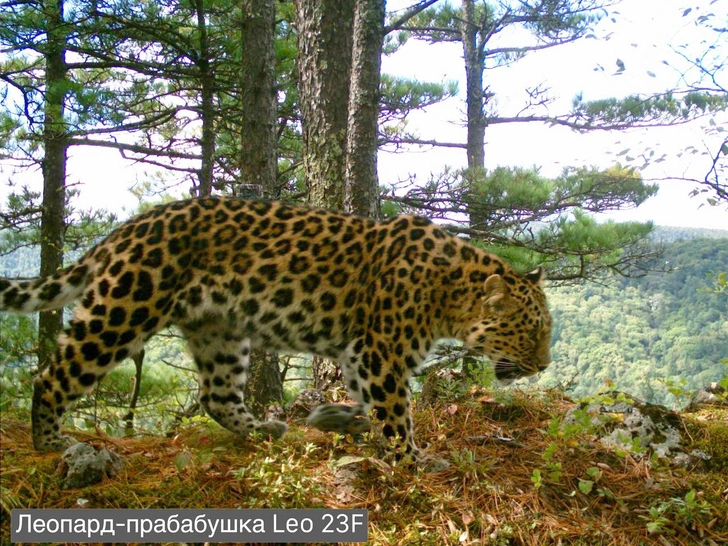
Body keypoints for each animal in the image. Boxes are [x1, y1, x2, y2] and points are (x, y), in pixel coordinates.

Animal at [0, 197, 551, 468]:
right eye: (529, 333)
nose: (544, 364)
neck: (449, 291)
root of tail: (122, 231)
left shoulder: (360, 353)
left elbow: (367, 401)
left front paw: (343, 420)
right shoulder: (380, 352)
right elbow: (397, 413)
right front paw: (416, 459)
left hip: (220, 331)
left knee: (215, 395)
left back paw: (265, 429)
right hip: (122, 312)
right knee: (51, 376)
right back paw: (49, 441)